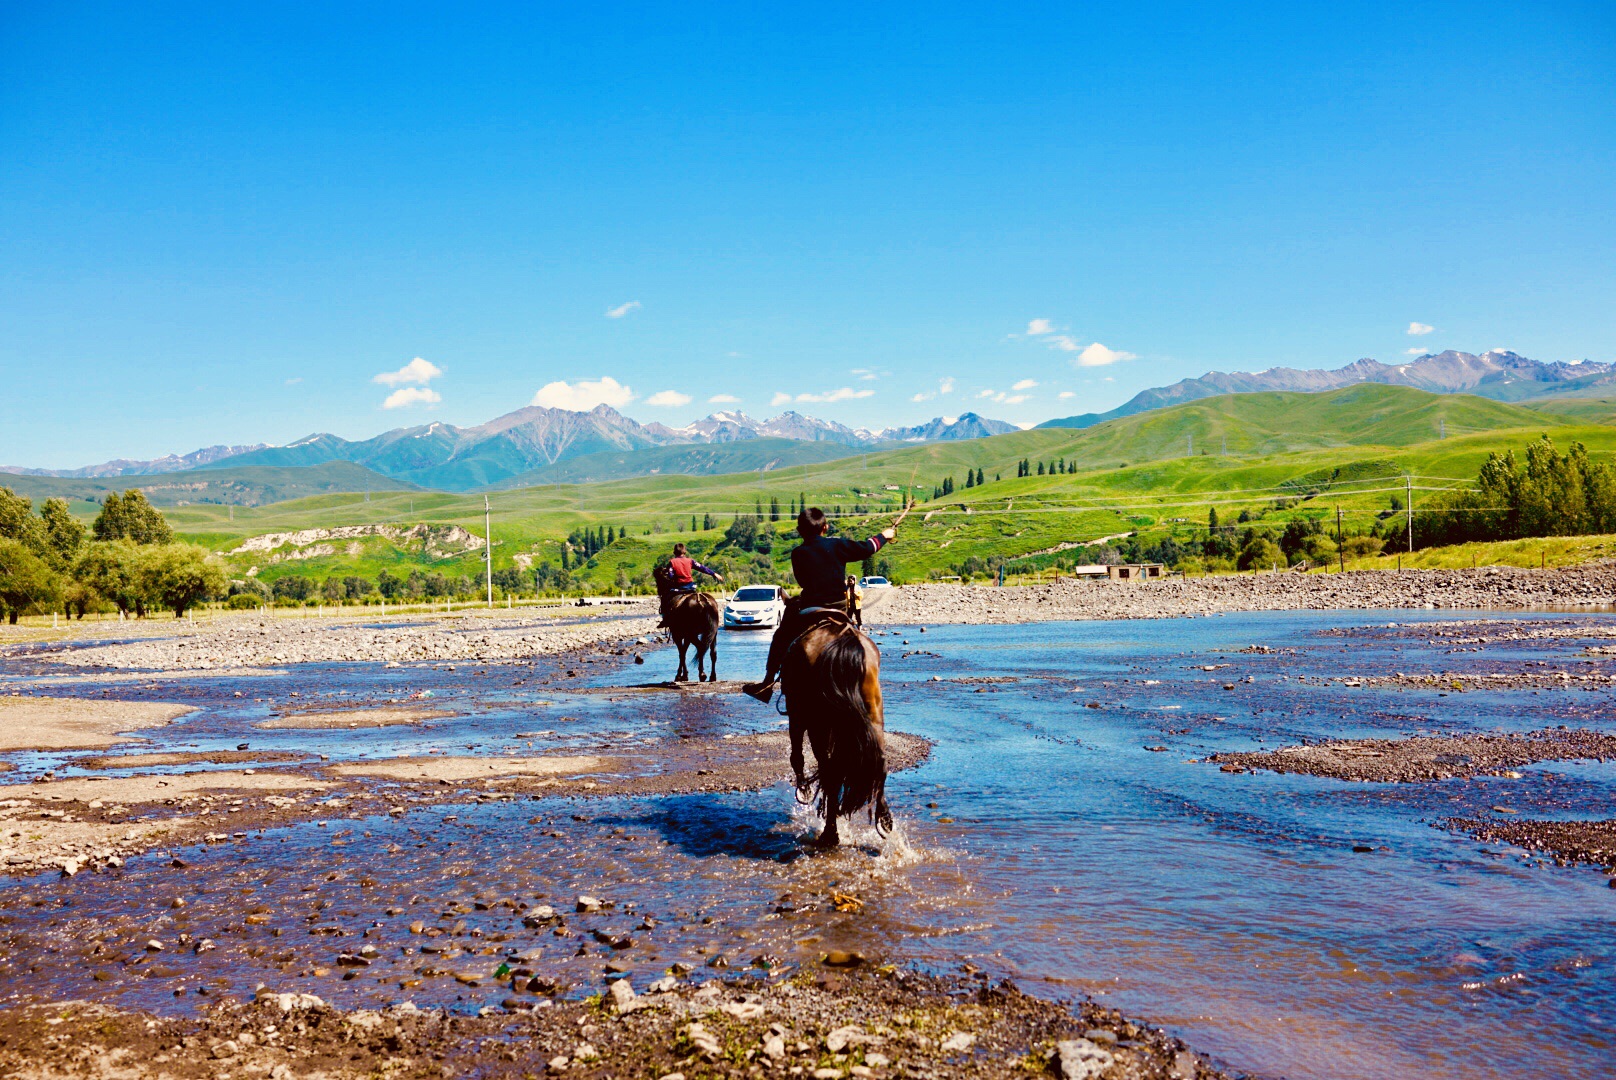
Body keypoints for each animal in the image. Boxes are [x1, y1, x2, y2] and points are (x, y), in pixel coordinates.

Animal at [775, 611, 892, 847]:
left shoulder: (797, 715)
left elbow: (797, 757)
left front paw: (804, 791)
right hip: (872, 712)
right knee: (879, 761)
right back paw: (883, 818)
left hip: (817, 723)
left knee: (829, 771)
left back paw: (829, 833)